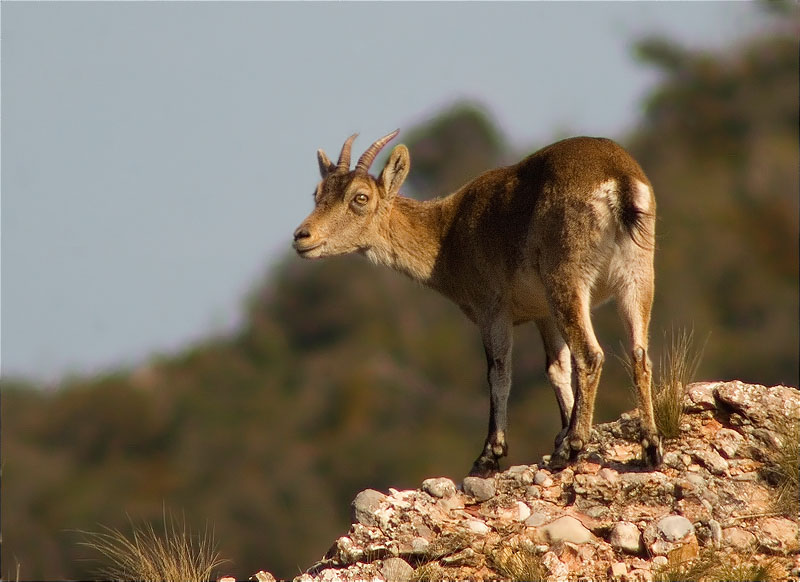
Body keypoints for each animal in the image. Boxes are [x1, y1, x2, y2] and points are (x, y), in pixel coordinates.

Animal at [290, 130, 660, 476]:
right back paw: (650, 447)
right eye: (317, 194)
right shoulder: (543, 313)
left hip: (567, 276)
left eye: (360, 197)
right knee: (639, 353)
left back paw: (573, 448)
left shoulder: (491, 308)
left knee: (590, 355)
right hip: (638, 274)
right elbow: (556, 369)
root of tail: (618, 179)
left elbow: (499, 372)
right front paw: (562, 435)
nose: (302, 237)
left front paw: (490, 456)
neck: (447, 234)